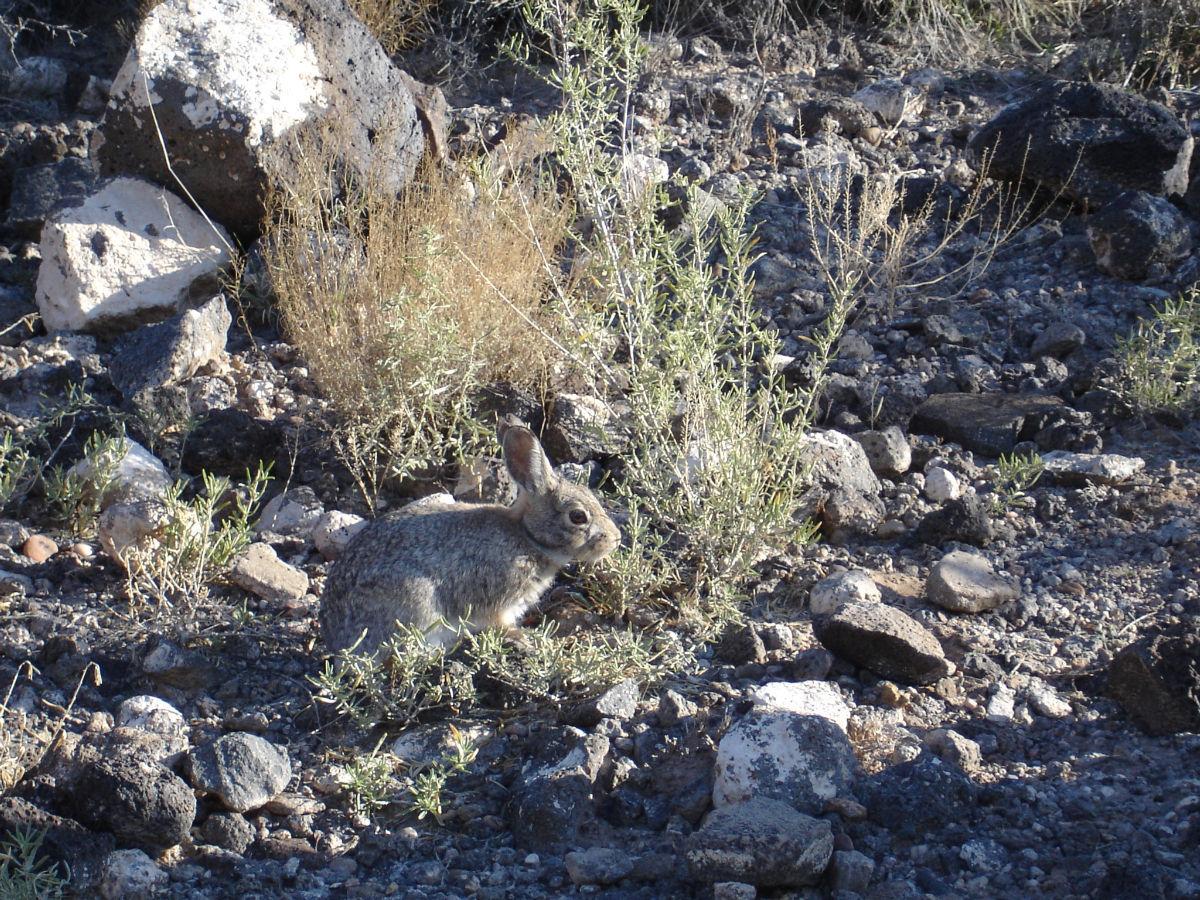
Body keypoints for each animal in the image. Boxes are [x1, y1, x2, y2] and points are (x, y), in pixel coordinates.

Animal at [319, 420, 619, 657]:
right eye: (578, 517)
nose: (615, 540)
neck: (527, 537)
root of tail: (337, 641)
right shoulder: (496, 600)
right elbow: (499, 623)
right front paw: (523, 640)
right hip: (415, 602)